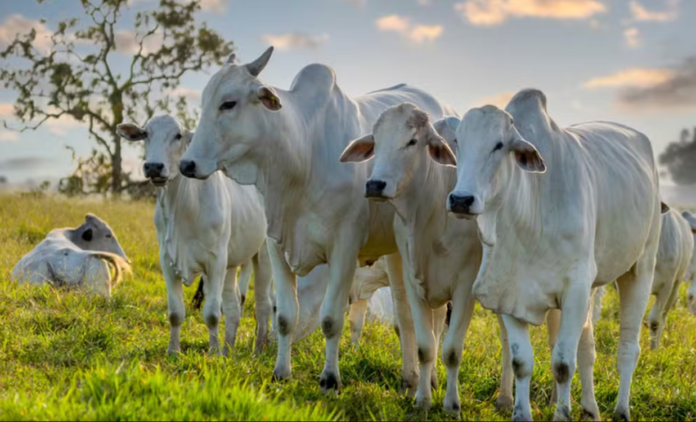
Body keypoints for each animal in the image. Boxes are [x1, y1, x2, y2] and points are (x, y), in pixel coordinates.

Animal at [118, 115, 274, 356]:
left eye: (178, 135)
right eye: (145, 134)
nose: (153, 166)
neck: (182, 208)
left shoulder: (215, 261)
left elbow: (212, 313)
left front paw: (213, 353)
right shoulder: (168, 260)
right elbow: (175, 312)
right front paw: (173, 350)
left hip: (263, 254)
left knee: (263, 304)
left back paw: (257, 349)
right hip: (231, 262)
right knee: (233, 306)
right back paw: (228, 349)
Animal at [178, 46, 456, 392]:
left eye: (229, 103)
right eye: (204, 101)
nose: (186, 164)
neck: (303, 153)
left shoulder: (344, 249)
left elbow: (331, 319)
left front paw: (330, 379)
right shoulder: (275, 245)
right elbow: (286, 316)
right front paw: (281, 372)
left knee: (433, 319)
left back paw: (428, 380)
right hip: (396, 251)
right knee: (405, 313)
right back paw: (410, 378)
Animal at [446, 90, 664, 420]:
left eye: (499, 145)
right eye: (458, 141)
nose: (460, 199)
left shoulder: (575, 290)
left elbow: (562, 364)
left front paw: (562, 413)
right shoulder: (507, 292)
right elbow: (521, 362)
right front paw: (521, 413)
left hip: (640, 267)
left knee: (628, 347)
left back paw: (621, 409)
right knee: (587, 347)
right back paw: (590, 408)